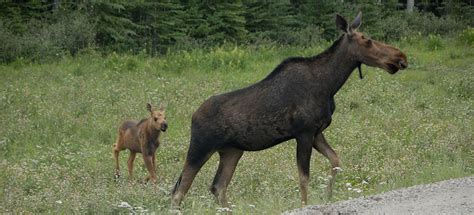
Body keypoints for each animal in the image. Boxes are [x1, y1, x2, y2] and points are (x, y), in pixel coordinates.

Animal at [170, 12, 408, 208]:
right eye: (367, 40)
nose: (401, 57)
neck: (330, 84)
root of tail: (193, 116)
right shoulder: (304, 133)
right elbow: (304, 177)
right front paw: (306, 204)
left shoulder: (317, 132)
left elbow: (336, 161)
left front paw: (328, 195)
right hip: (200, 147)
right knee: (179, 191)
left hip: (231, 150)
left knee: (217, 186)